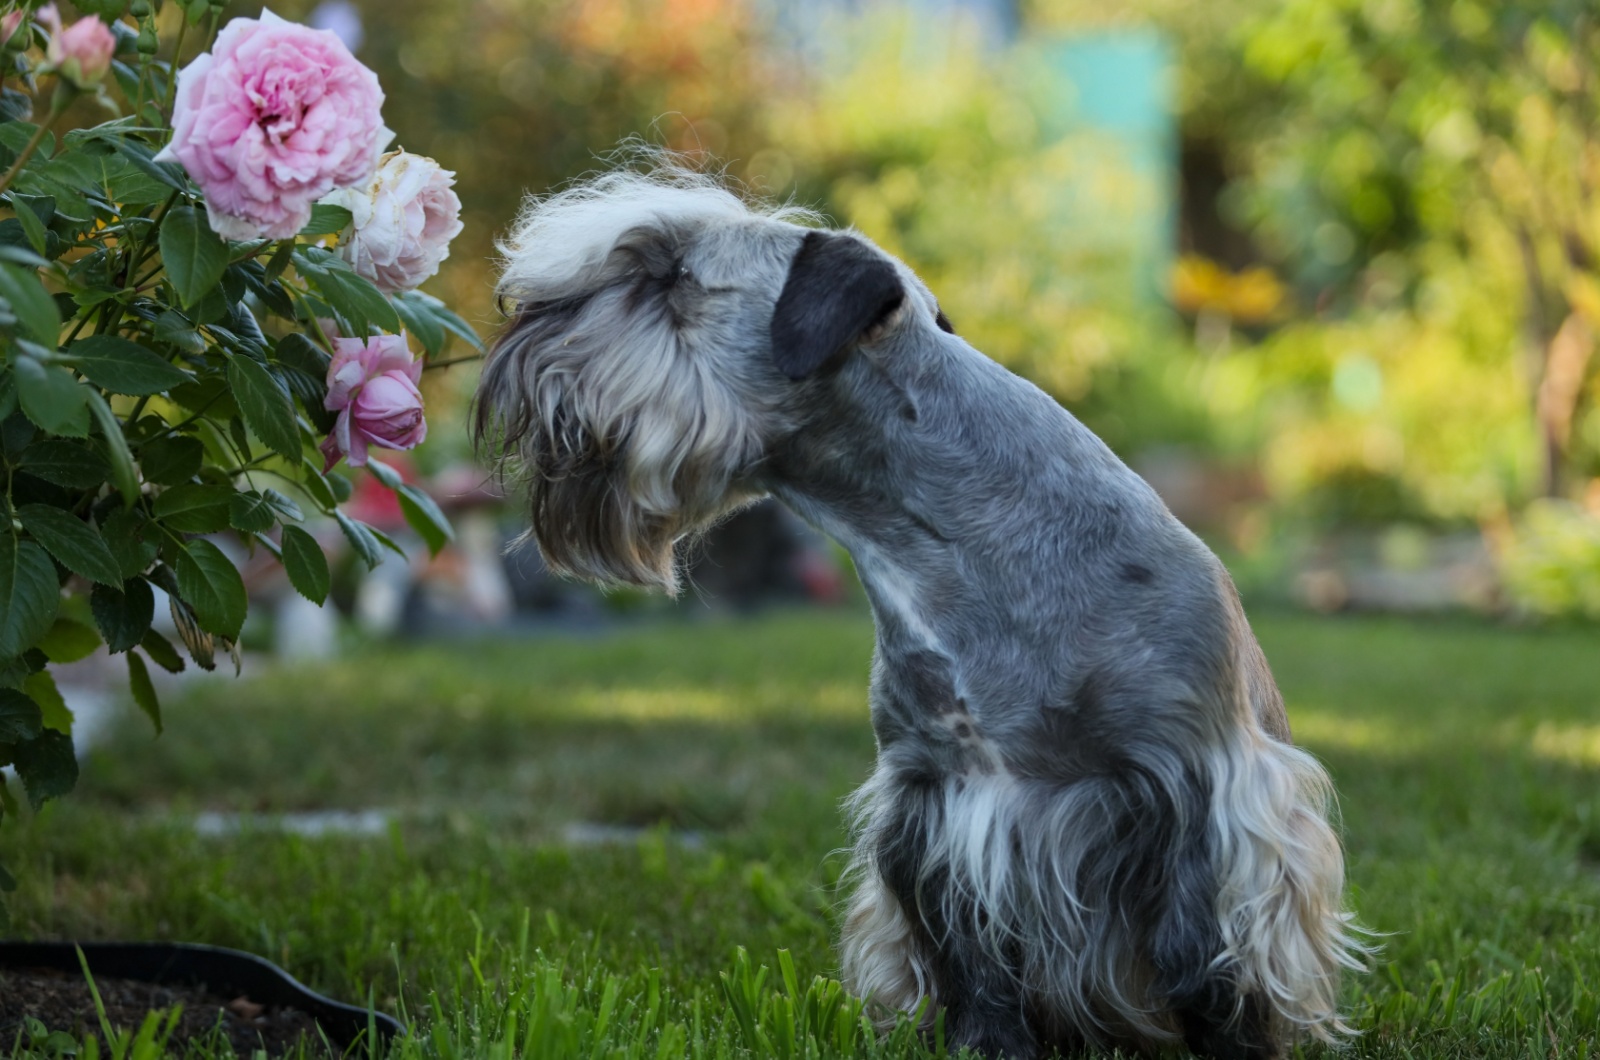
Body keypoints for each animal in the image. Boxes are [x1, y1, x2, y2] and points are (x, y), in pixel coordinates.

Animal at [470, 164, 1363, 1060]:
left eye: (665, 277)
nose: (515, 326)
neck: (958, 549)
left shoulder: (1192, 785)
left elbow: (1199, 959)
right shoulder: (933, 798)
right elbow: (965, 956)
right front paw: (986, 1044)